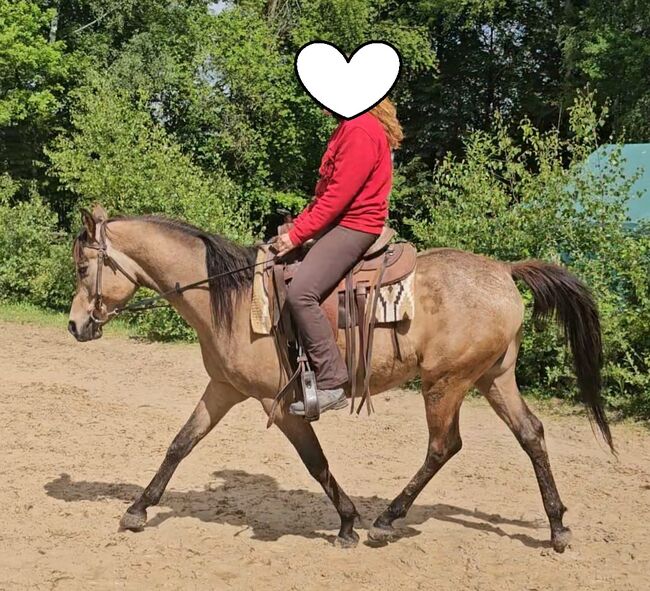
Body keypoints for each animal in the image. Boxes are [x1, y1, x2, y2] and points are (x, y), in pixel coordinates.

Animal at [68, 205, 613, 553]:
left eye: (81, 267)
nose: (74, 325)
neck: (231, 298)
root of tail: (503, 271)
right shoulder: (224, 389)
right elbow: (181, 443)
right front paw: (138, 508)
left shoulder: (279, 404)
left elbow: (316, 462)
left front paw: (349, 522)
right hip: (492, 378)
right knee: (531, 434)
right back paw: (557, 527)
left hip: (446, 383)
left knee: (443, 447)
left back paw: (387, 520)